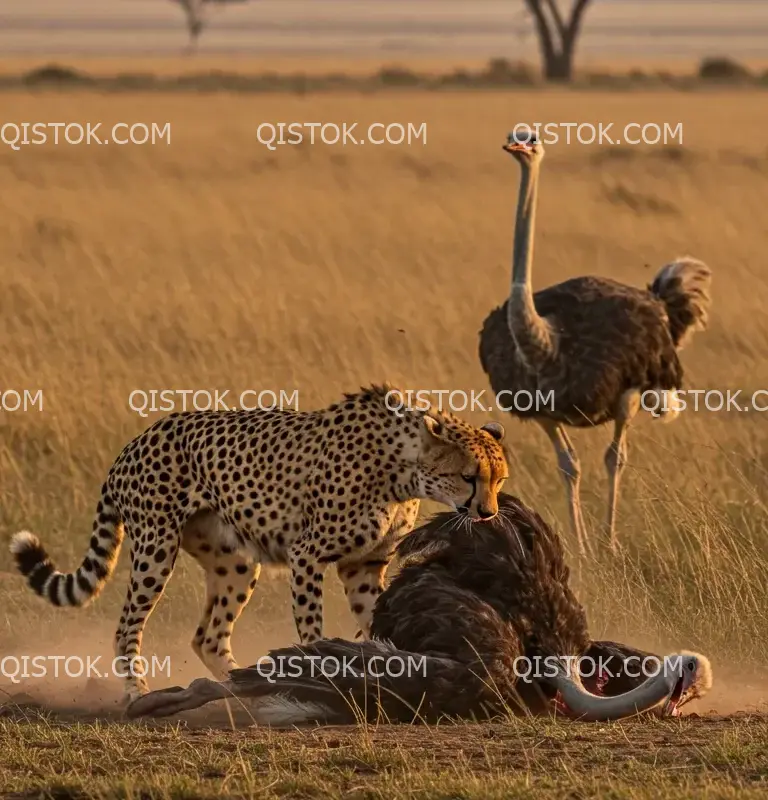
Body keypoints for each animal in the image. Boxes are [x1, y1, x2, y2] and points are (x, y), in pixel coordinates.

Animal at [9, 384, 510, 704]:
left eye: (499, 479)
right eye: (469, 477)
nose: (487, 513)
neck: (404, 467)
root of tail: (136, 440)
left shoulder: (365, 565)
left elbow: (376, 620)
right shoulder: (307, 554)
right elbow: (312, 626)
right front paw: (322, 670)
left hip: (234, 563)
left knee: (208, 637)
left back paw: (239, 684)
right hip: (156, 548)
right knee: (127, 626)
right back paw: (137, 692)